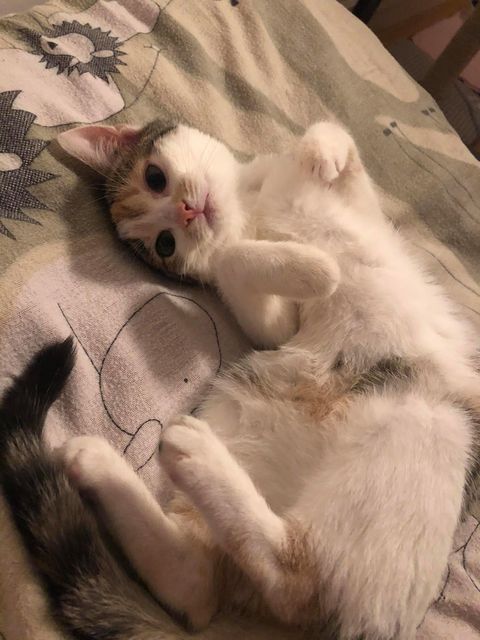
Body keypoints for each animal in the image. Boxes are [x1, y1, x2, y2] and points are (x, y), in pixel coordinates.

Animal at [1, 120, 480, 640]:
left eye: (155, 178)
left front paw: (320, 155)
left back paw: (99, 463)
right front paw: (316, 267)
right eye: (166, 243)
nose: (187, 212)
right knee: (277, 580)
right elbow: (234, 259)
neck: (252, 209)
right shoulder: (273, 328)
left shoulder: (356, 214)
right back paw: (173, 455)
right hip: (390, 422)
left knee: (199, 578)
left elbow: (336, 141)